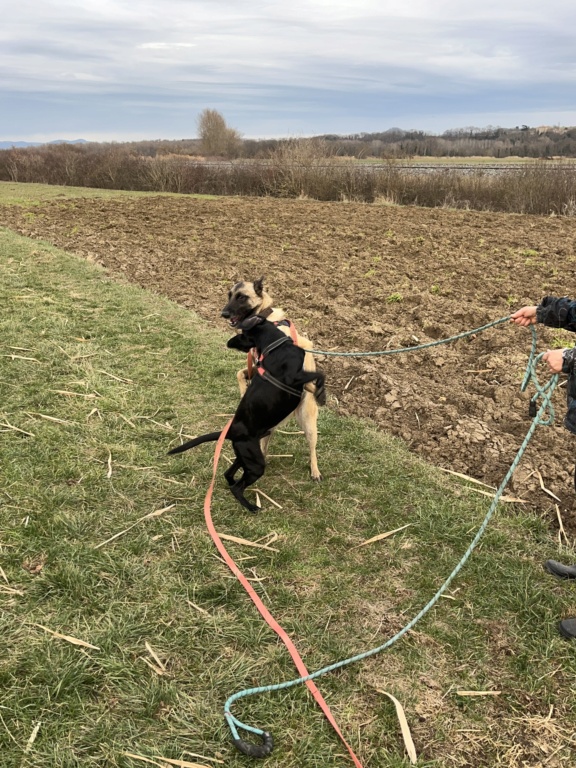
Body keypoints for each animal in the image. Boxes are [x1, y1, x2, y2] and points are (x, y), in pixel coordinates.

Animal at [169, 316, 326, 512]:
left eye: (242, 334)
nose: (229, 343)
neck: (276, 345)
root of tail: (232, 431)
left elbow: (315, 380)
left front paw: (319, 392)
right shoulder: (295, 377)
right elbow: (320, 374)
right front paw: (321, 394)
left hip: (246, 457)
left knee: (228, 474)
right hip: (256, 463)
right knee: (237, 488)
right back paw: (251, 507)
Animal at [222, 276, 324, 480]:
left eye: (242, 297)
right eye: (230, 295)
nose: (224, 313)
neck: (264, 316)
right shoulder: (257, 366)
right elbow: (239, 373)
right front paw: (244, 390)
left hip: (308, 422)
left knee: (312, 448)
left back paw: (315, 470)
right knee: (265, 443)